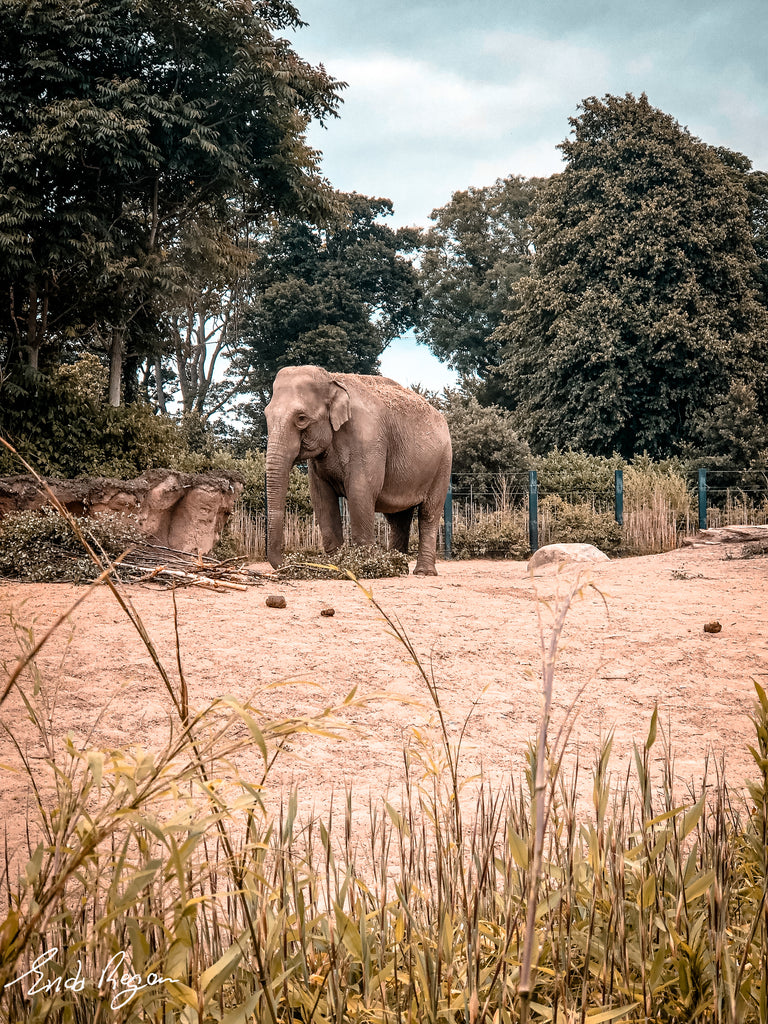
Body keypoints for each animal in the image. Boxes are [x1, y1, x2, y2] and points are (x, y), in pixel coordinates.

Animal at [268, 366, 454, 577]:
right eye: (266, 414)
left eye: (301, 418)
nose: (290, 563)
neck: (332, 379)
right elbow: (322, 499)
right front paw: (338, 566)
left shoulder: (367, 439)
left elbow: (360, 492)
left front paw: (364, 568)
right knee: (398, 518)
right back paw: (397, 567)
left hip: (443, 463)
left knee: (429, 513)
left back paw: (423, 572)